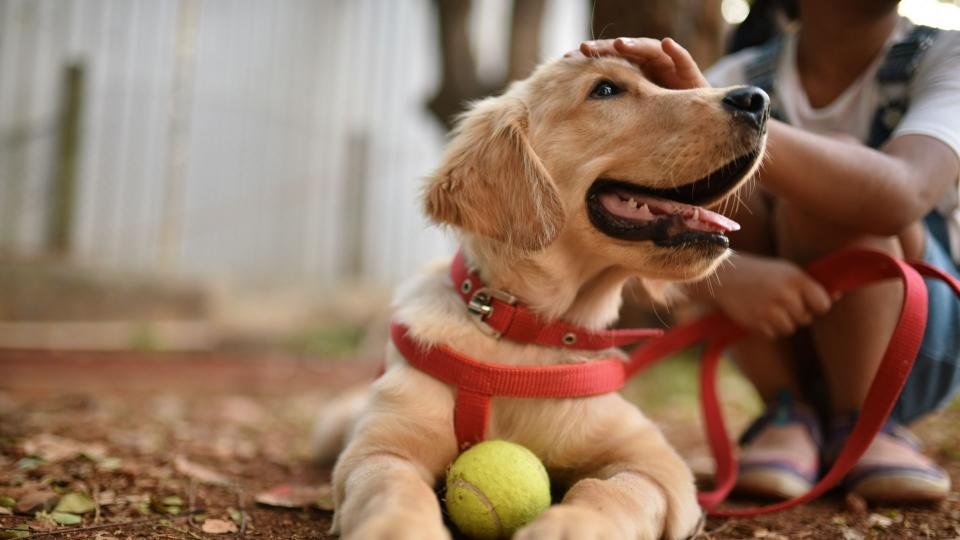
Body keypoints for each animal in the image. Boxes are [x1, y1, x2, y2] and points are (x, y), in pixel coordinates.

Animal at [326, 56, 768, 540]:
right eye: (606, 89)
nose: (757, 99)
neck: (522, 329)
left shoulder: (656, 463)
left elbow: (609, 491)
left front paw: (570, 526)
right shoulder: (379, 450)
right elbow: (393, 488)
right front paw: (400, 528)